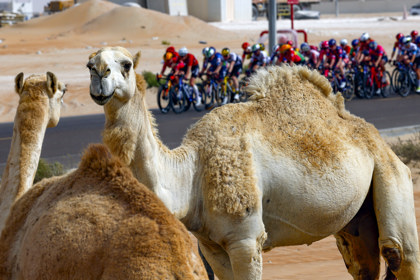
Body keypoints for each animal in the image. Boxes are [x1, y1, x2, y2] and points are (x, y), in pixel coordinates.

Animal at [88, 46, 420, 280]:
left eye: (126, 64)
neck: (191, 173)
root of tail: (377, 138)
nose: (99, 73)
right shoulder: (210, 245)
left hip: (390, 173)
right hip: (355, 219)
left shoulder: (245, 238)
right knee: (362, 264)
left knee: (399, 252)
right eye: (89, 63)